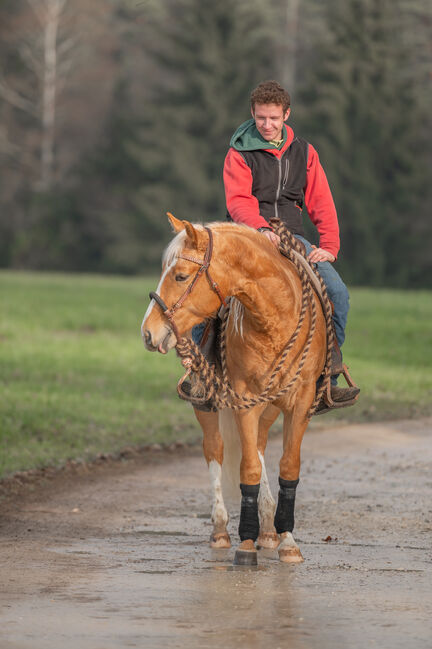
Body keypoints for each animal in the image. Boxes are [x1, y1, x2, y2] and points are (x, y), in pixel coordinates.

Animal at [141, 213, 328, 565]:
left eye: (181, 275)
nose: (147, 332)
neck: (274, 320)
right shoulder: (245, 400)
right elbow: (248, 468)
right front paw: (246, 543)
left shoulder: (300, 403)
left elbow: (288, 466)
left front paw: (287, 540)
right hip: (207, 404)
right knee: (215, 448)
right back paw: (221, 530)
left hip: (269, 408)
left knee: (260, 443)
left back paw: (268, 530)